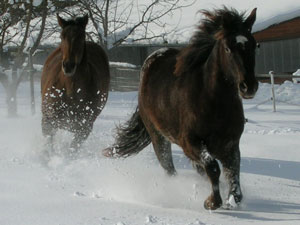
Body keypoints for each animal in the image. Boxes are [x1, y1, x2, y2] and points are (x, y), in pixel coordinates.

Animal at [40, 14, 109, 155]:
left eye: (81, 37)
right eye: (62, 36)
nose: (68, 66)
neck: (70, 90)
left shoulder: (84, 128)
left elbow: (72, 149)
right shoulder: (48, 121)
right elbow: (48, 146)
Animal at [103, 7, 258, 211]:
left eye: (255, 45)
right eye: (227, 48)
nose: (249, 87)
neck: (215, 105)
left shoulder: (230, 145)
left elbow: (233, 176)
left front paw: (231, 200)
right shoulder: (190, 142)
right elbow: (213, 167)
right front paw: (211, 202)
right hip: (159, 138)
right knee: (171, 170)